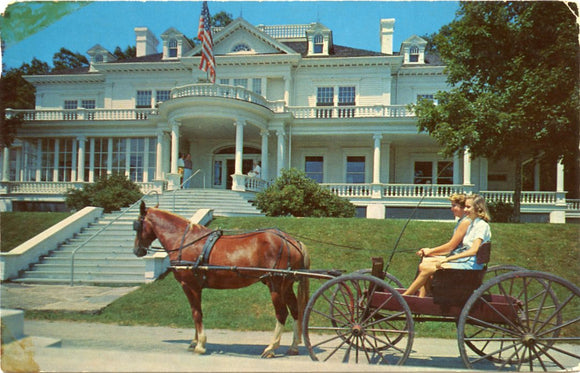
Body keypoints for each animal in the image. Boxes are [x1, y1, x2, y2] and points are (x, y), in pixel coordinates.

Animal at [133, 202, 310, 356]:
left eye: (137, 225)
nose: (137, 251)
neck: (186, 241)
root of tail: (292, 241)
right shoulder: (195, 287)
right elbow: (196, 312)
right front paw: (194, 341)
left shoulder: (189, 285)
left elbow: (196, 313)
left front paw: (200, 345)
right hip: (286, 285)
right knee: (295, 310)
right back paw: (293, 347)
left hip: (275, 284)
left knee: (282, 313)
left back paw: (271, 348)